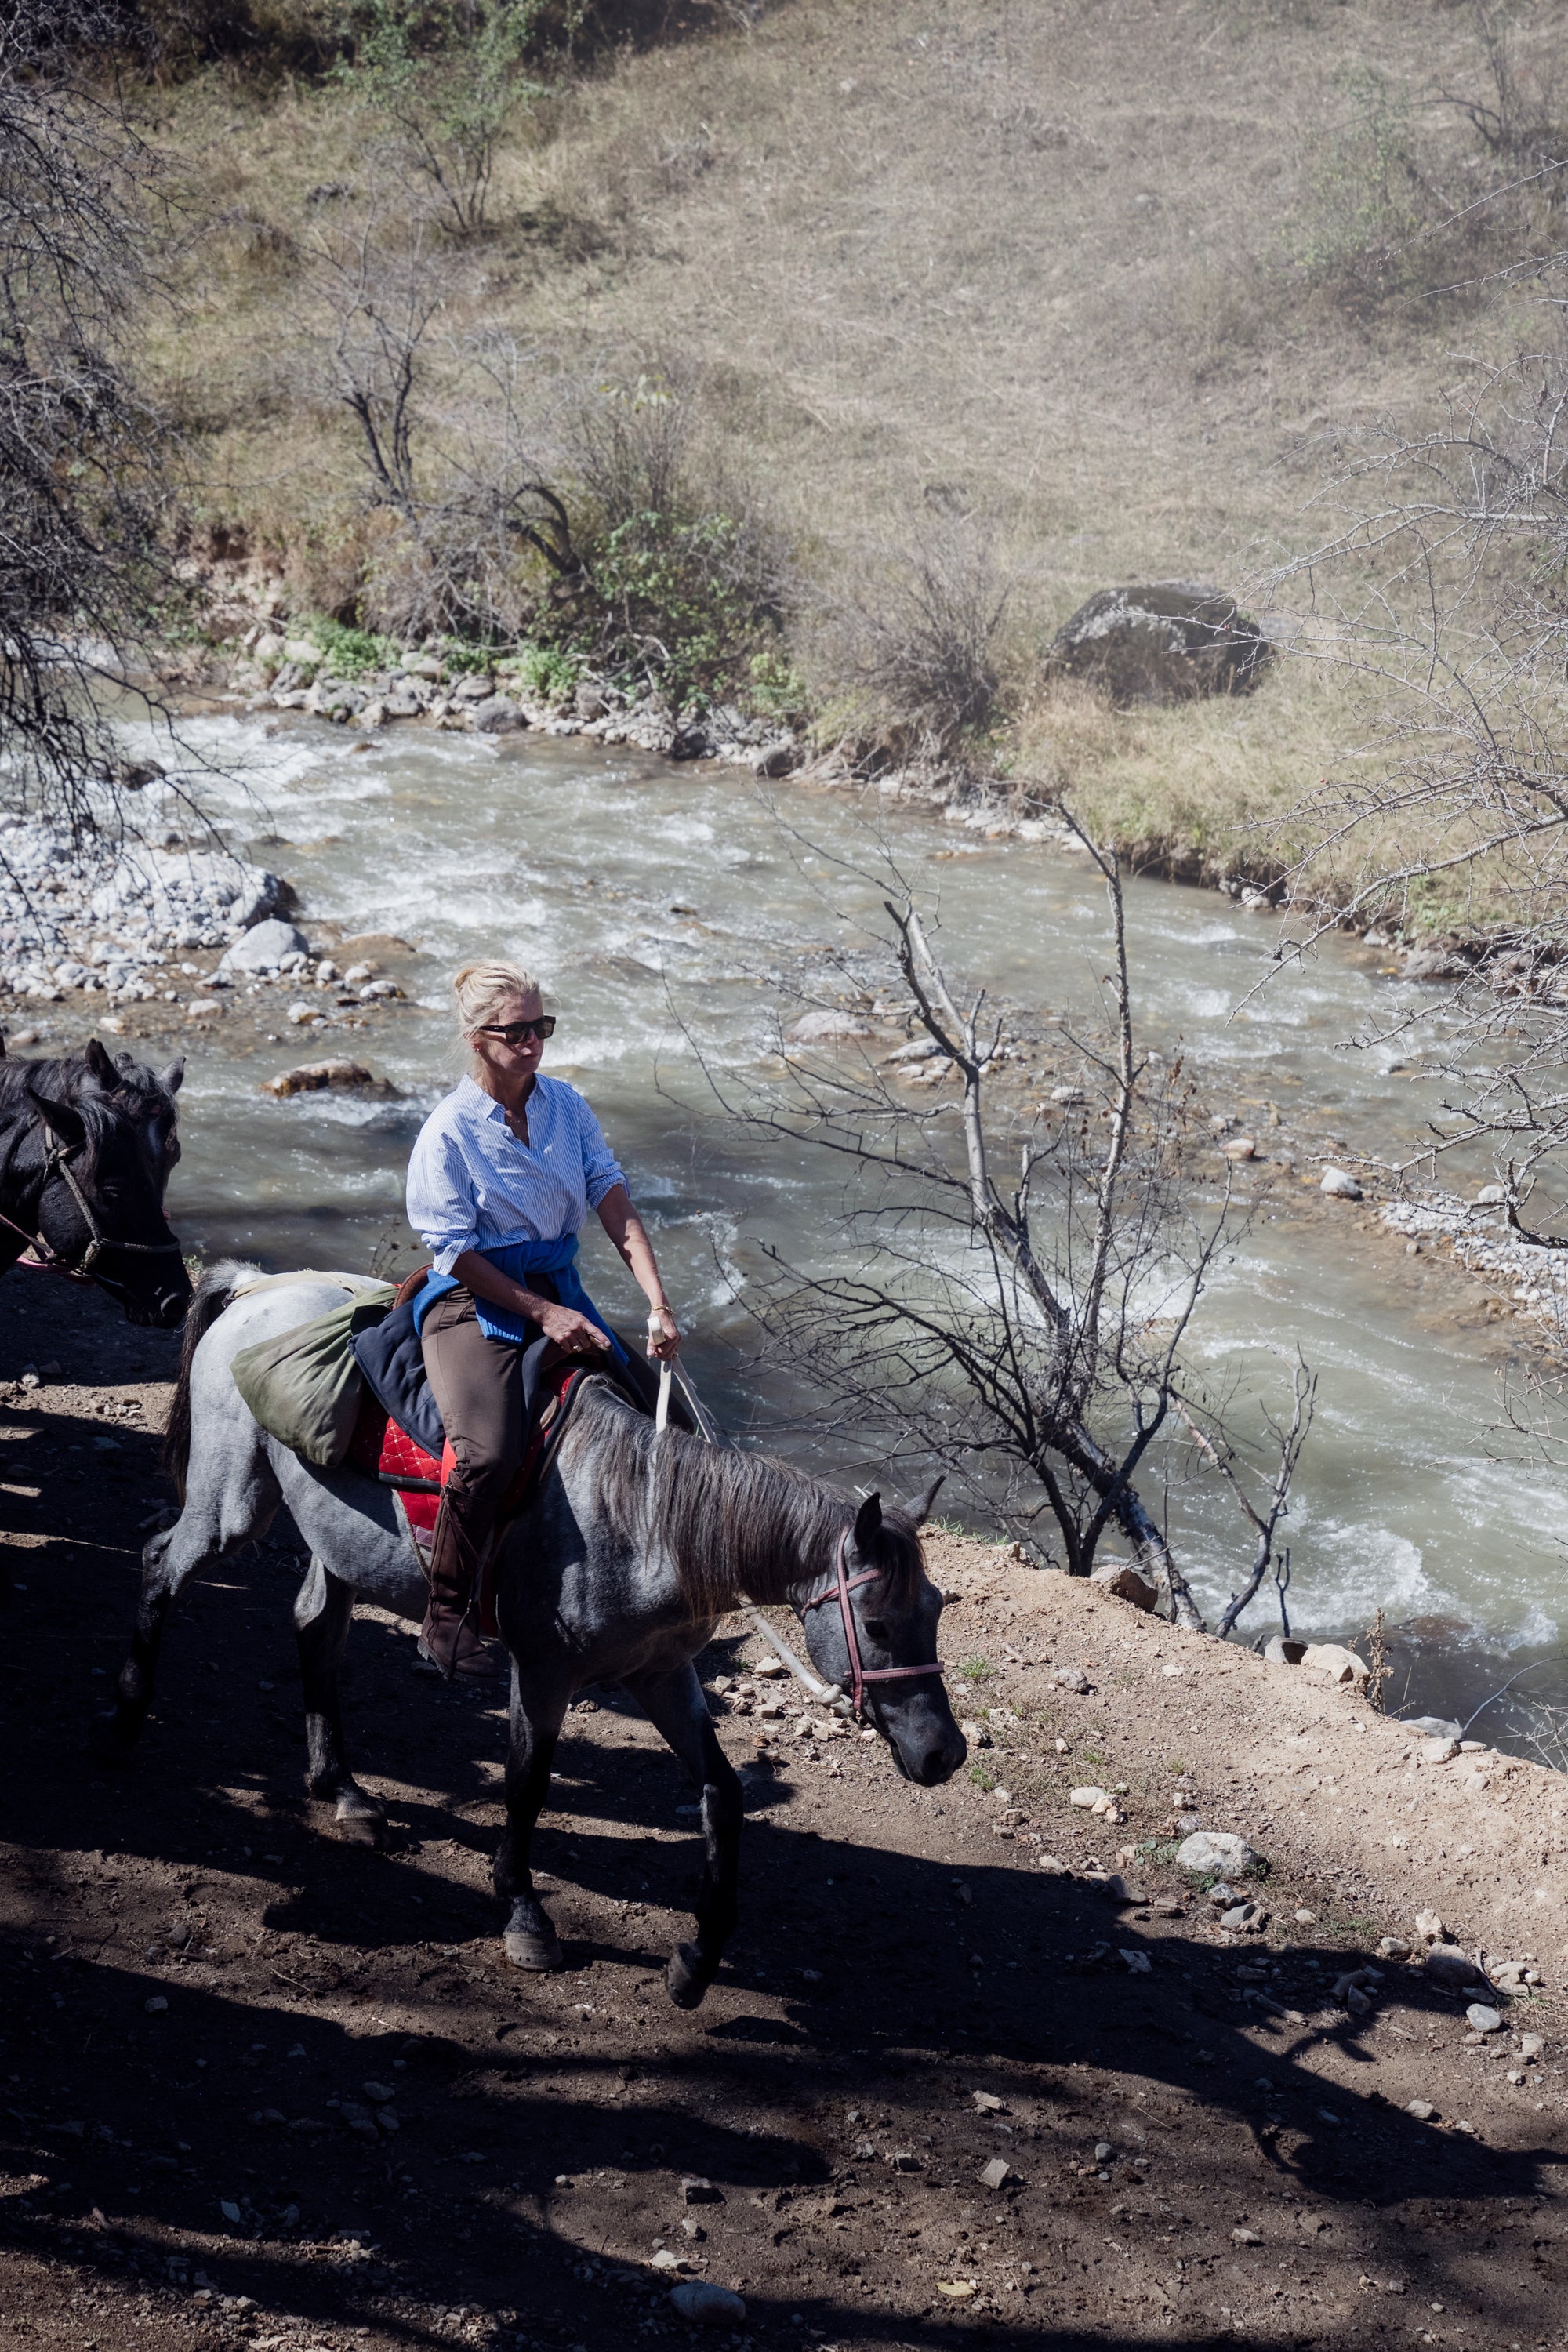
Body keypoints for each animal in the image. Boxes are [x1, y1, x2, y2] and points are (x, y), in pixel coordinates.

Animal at [103, 1261, 964, 2013]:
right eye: (876, 1623)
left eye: (936, 1609)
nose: (943, 1756)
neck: (639, 1514)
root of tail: (256, 1286)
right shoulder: (542, 1673)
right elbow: (527, 1786)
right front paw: (523, 1915)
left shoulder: (663, 1677)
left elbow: (722, 1796)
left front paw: (695, 1961)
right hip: (233, 1507)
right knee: (157, 1565)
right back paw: (127, 1721)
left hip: (338, 1540)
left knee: (316, 1629)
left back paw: (342, 1791)